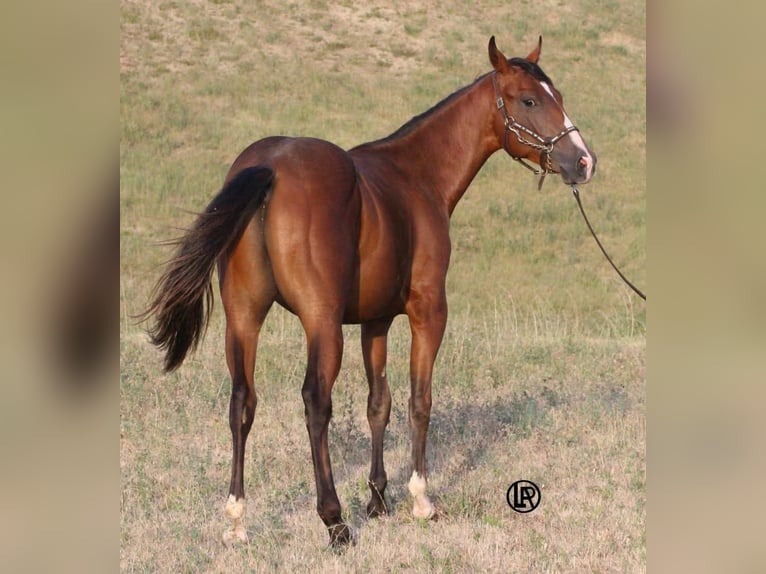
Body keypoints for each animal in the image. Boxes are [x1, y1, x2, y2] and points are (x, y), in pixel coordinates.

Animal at [144, 36, 596, 547]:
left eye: (557, 94)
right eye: (529, 100)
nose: (582, 161)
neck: (415, 178)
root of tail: (270, 167)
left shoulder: (374, 322)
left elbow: (378, 403)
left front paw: (378, 498)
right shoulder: (427, 312)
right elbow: (420, 400)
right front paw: (419, 499)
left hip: (243, 316)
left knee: (242, 402)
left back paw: (237, 519)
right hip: (320, 323)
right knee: (315, 403)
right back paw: (333, 519)